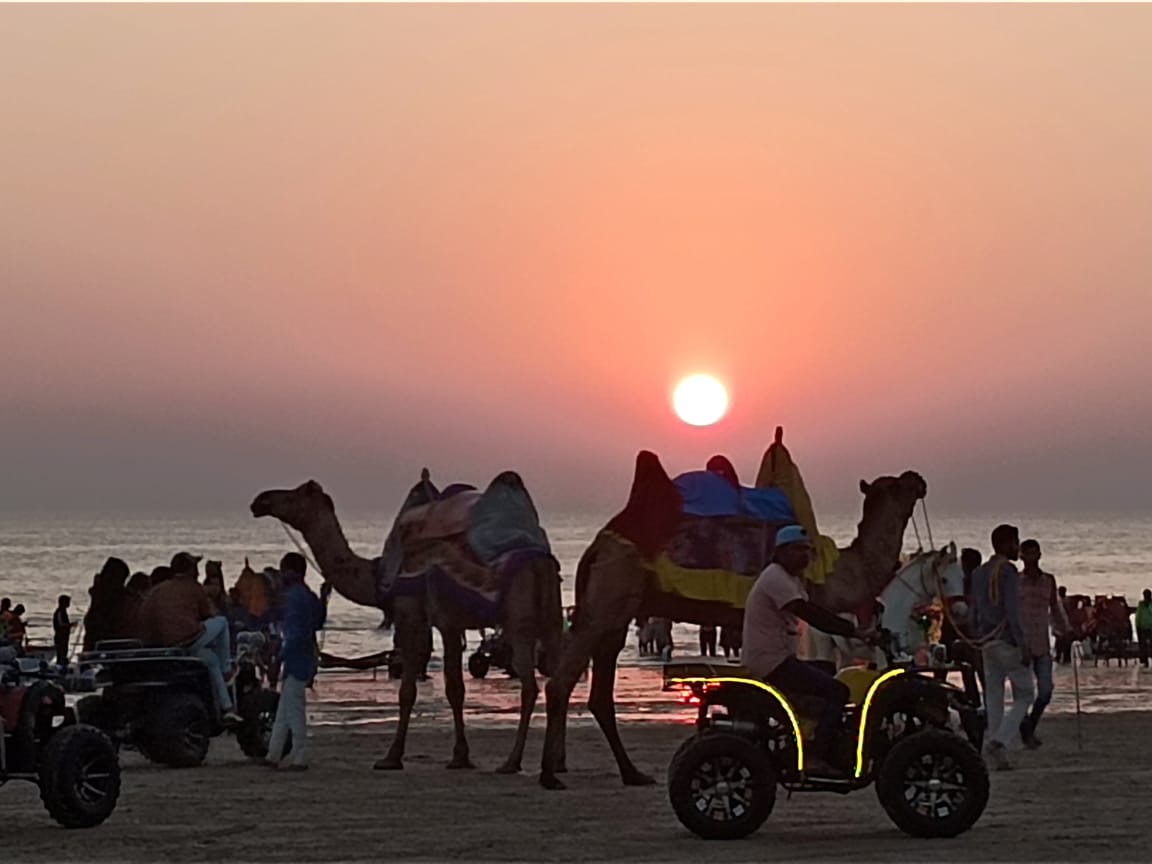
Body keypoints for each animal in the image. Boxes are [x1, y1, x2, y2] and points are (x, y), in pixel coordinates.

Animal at [249, 476, 564, 774]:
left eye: (295, 494)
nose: (260, 500)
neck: (378, 573)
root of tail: (540, 561)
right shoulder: (450, 624)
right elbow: (455, 689)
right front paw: (460, 757)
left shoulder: (411, 615)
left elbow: (408, 690)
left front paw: (391, 757)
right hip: (552, 617)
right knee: (556, 680)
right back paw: (555, 763)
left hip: (519, 623)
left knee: (530, 685)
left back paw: (512, 762)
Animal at [536, 453, 926, 792]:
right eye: (898, 485)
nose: (917, 478)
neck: (834, 570)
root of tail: (598, 545)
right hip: (611, 593)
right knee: (562, 681)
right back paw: (550, 775)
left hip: (617, 608)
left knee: (600, 689)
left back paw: (630, 773)